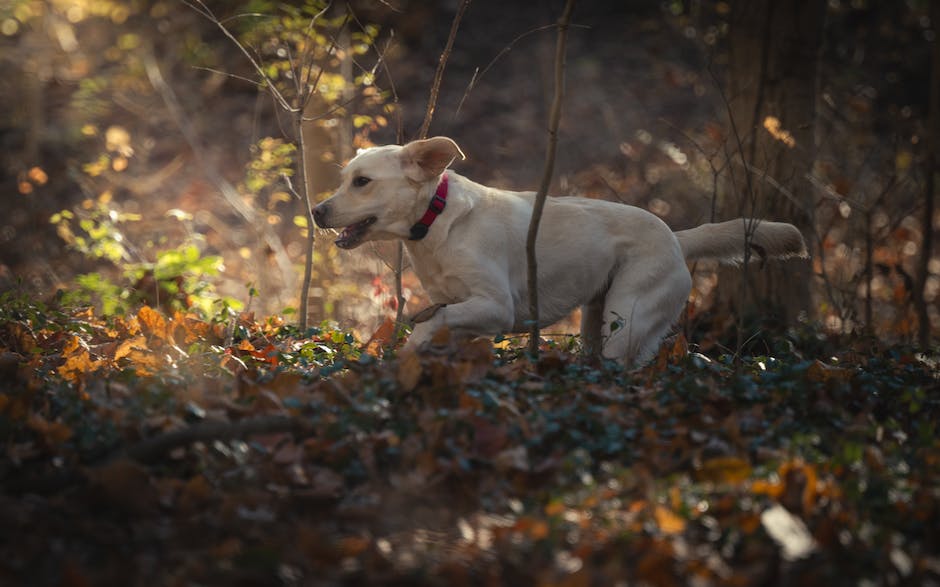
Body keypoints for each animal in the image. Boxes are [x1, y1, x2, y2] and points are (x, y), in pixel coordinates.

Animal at [316, 137, 808, 362]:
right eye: (343, 179)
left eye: (362, 182)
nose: (318, 211)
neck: (438, 222)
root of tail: (674, 235)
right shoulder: (460, 307)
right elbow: (441, 325)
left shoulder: (496, 307)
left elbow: (428, 325)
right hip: (598, 319)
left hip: (627, 320)